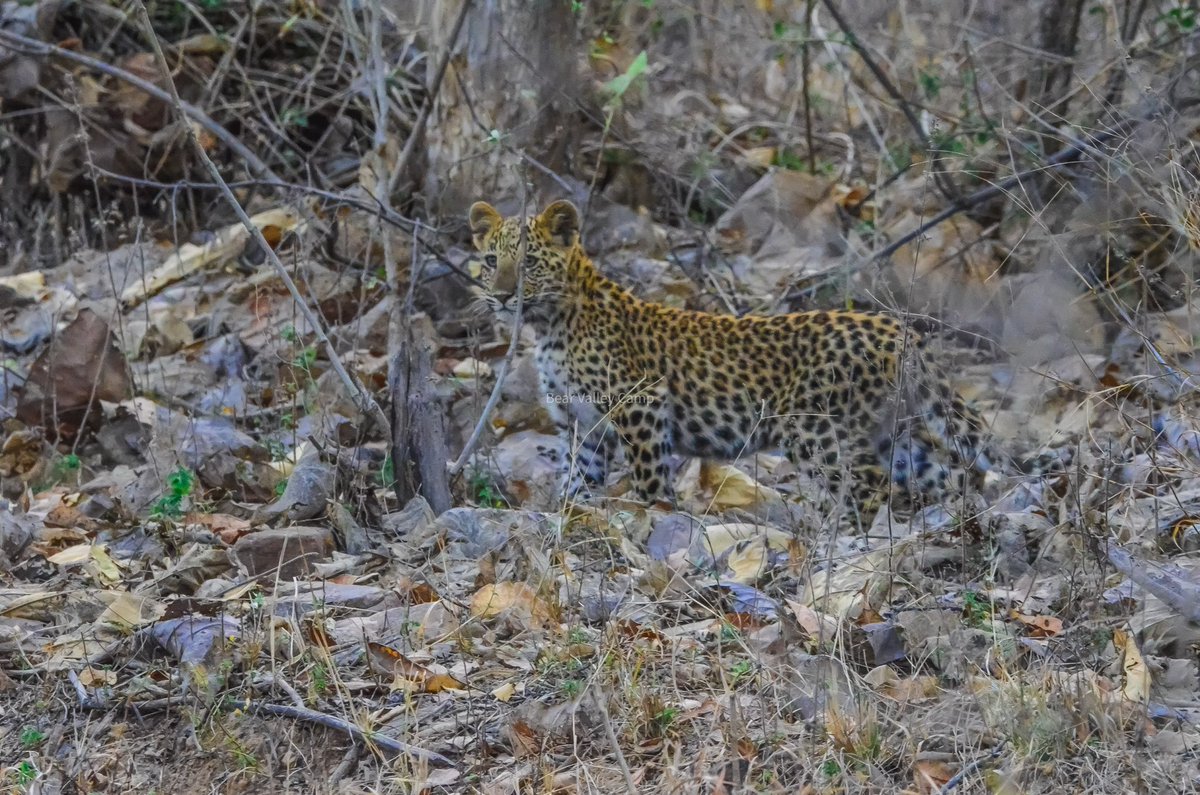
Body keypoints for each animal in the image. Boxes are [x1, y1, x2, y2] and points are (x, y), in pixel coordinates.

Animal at [468, 198, 999, 513]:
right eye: (492, 261)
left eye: (530, 264)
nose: (501, 297)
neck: (548, 327)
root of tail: (897, 331)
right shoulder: (581, 424)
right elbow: (580, 480)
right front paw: (573, 518)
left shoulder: (640, 407)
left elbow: (648, 478)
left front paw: (653, 517)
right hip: (891, 432)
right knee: (946, 473)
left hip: (816, 428)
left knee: (867, 485)